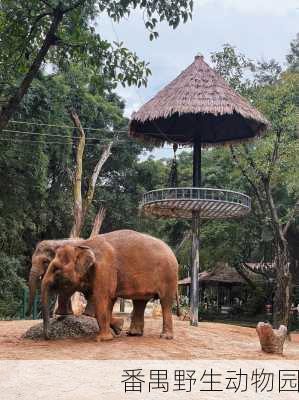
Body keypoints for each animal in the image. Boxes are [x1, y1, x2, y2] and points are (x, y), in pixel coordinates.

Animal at [41, 231, 179, 340]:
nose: (49, 337)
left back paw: (165, 337)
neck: (84, 245)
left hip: (169, 276)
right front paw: (117, 329)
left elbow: (102, 298)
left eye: (56, 269)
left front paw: (102, 339)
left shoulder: (104, 269)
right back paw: (133, 334)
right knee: (140, 302)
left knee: (165, 302)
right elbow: (105, 299)